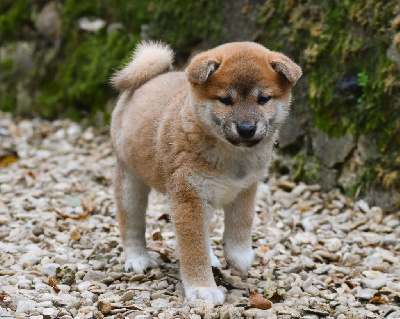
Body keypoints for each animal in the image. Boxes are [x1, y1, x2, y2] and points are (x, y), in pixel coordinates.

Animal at [109, 41, 300, 304]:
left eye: (263, 99)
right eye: (225, 100)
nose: (247, 129)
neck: (232, 155)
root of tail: (154, 77)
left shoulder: (246, 189)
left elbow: (243, 221)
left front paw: (240, 255)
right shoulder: (189, 197)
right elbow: (194, 248)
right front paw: (202, 289)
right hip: (131, 182)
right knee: (131, 224)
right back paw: (138, 258)